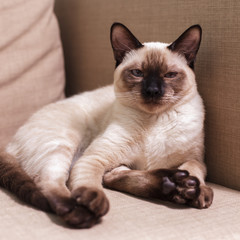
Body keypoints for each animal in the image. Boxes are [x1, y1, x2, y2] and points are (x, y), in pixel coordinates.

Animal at [0, 23, 214, 229]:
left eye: (170, 75)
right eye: (137, 73)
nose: (152, 91)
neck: (154, 120)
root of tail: (10, 142)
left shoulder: (195, 159)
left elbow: (193, 169)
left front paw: (196, 191)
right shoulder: (95, 158)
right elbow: (90, 183)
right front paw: (93, 201)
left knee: (115, 178)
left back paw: (172, 184)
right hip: (64, 145)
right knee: (51, 184)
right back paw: (81, 213)